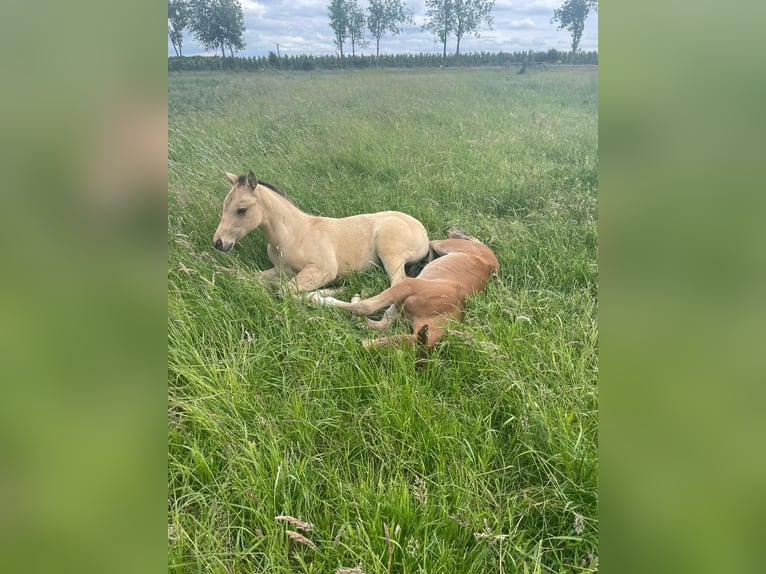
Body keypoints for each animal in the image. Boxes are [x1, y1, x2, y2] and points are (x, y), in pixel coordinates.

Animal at [212, 171, 431, 294]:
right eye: (223, 206)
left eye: (241, 209)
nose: (218, 243)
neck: (294, 235)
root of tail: (422, 231)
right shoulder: (280, 271)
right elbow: (250, 277)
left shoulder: (323, 270)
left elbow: (285, 291)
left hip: (390, 252)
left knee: (398, 283)